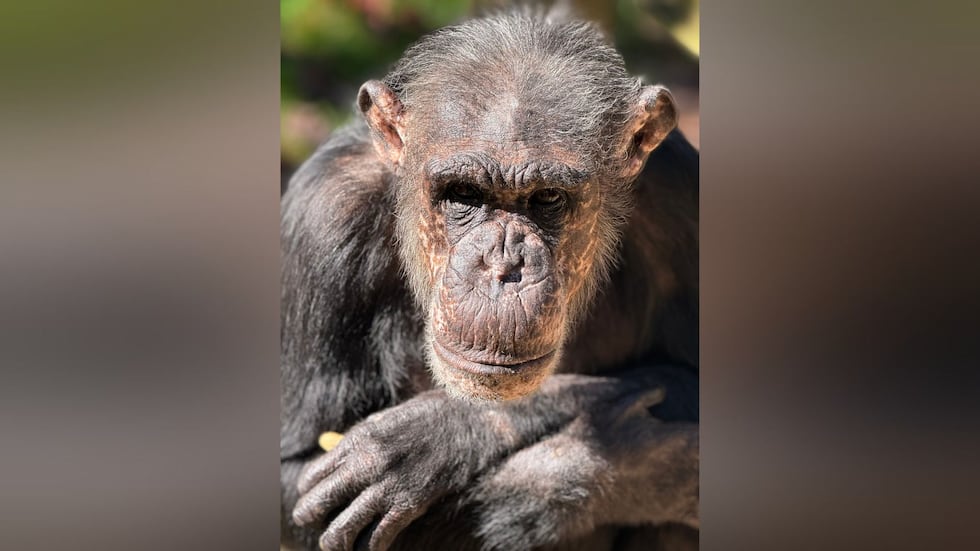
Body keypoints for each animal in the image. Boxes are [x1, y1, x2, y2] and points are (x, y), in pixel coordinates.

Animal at [281, 10, 698, 551]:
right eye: (464, 194)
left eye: (547, 198)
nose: (503, 268)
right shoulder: (325, 214)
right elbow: (300, 482)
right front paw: (637, 462)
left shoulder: (682, 191)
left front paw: (433, 435)